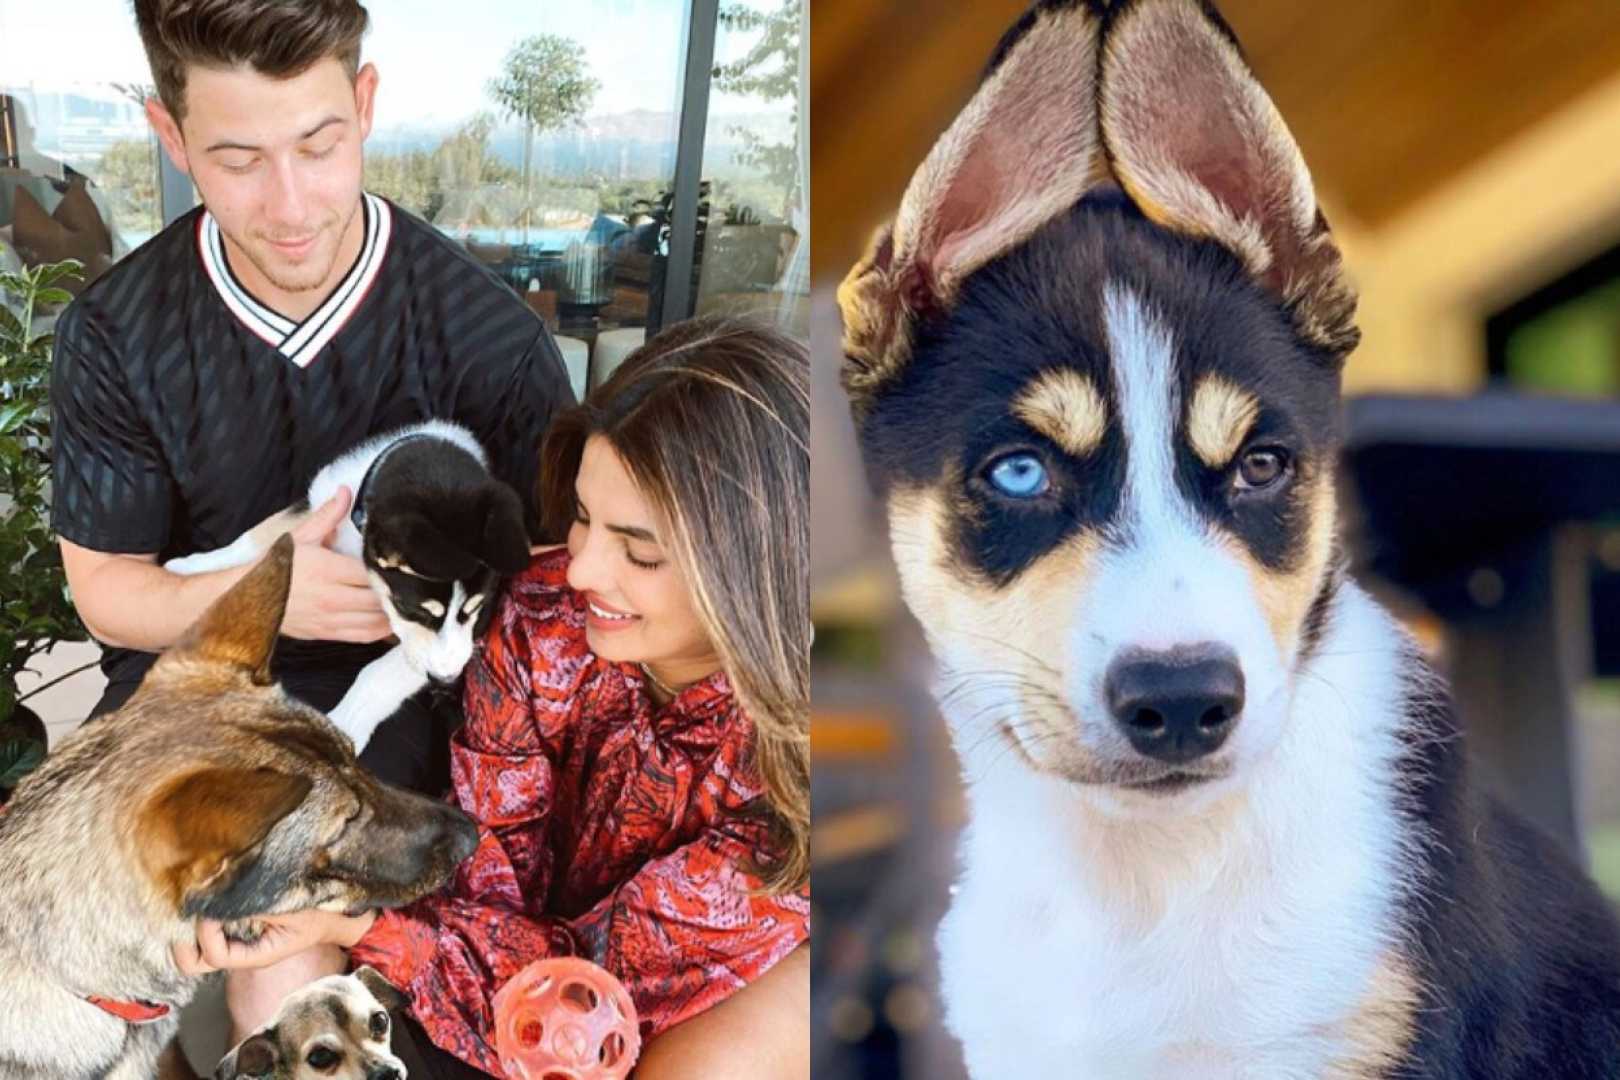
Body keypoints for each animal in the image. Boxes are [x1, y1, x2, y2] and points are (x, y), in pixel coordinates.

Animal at [167, 420, 528, 751]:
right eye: (411, 609)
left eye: (478, 609)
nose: (447, 678)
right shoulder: (318, 505)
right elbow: (262, 535)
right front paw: (191, 566)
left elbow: (382, 673)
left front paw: (343, 725)